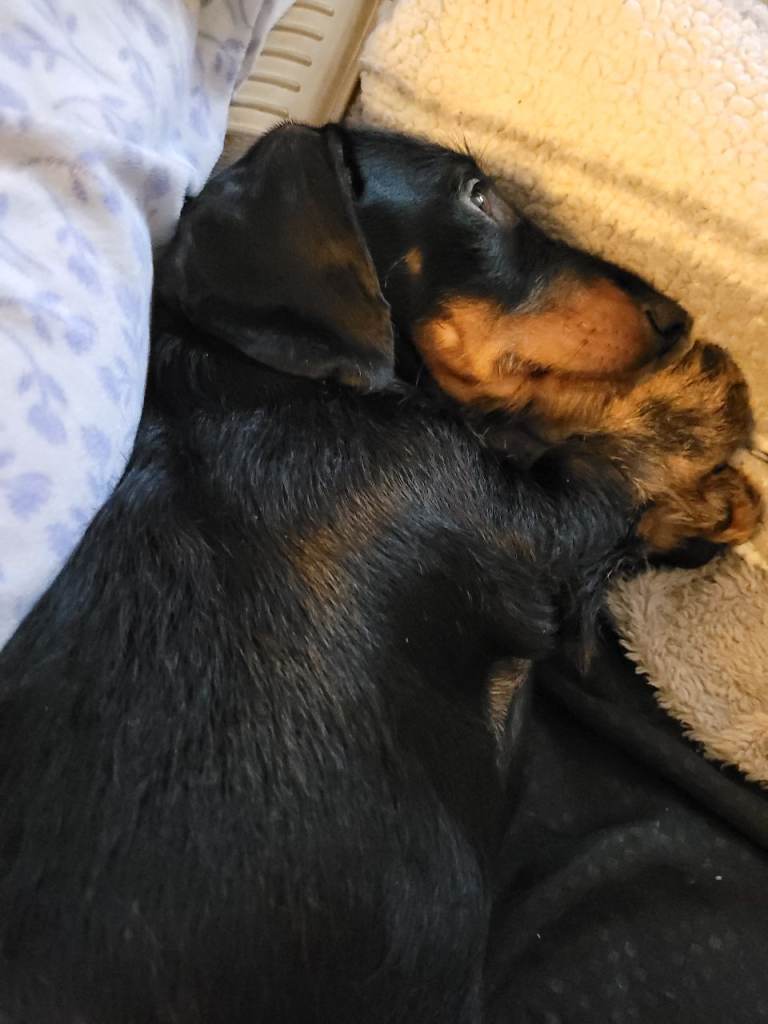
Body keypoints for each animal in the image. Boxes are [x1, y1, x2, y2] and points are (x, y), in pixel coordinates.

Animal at [0, 123, 759, 1024]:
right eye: (478, 195)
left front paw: (707, 500)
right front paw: (694, 403)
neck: (274, 383)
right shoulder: (522, 543)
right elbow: (590, 471)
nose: (676, 320)